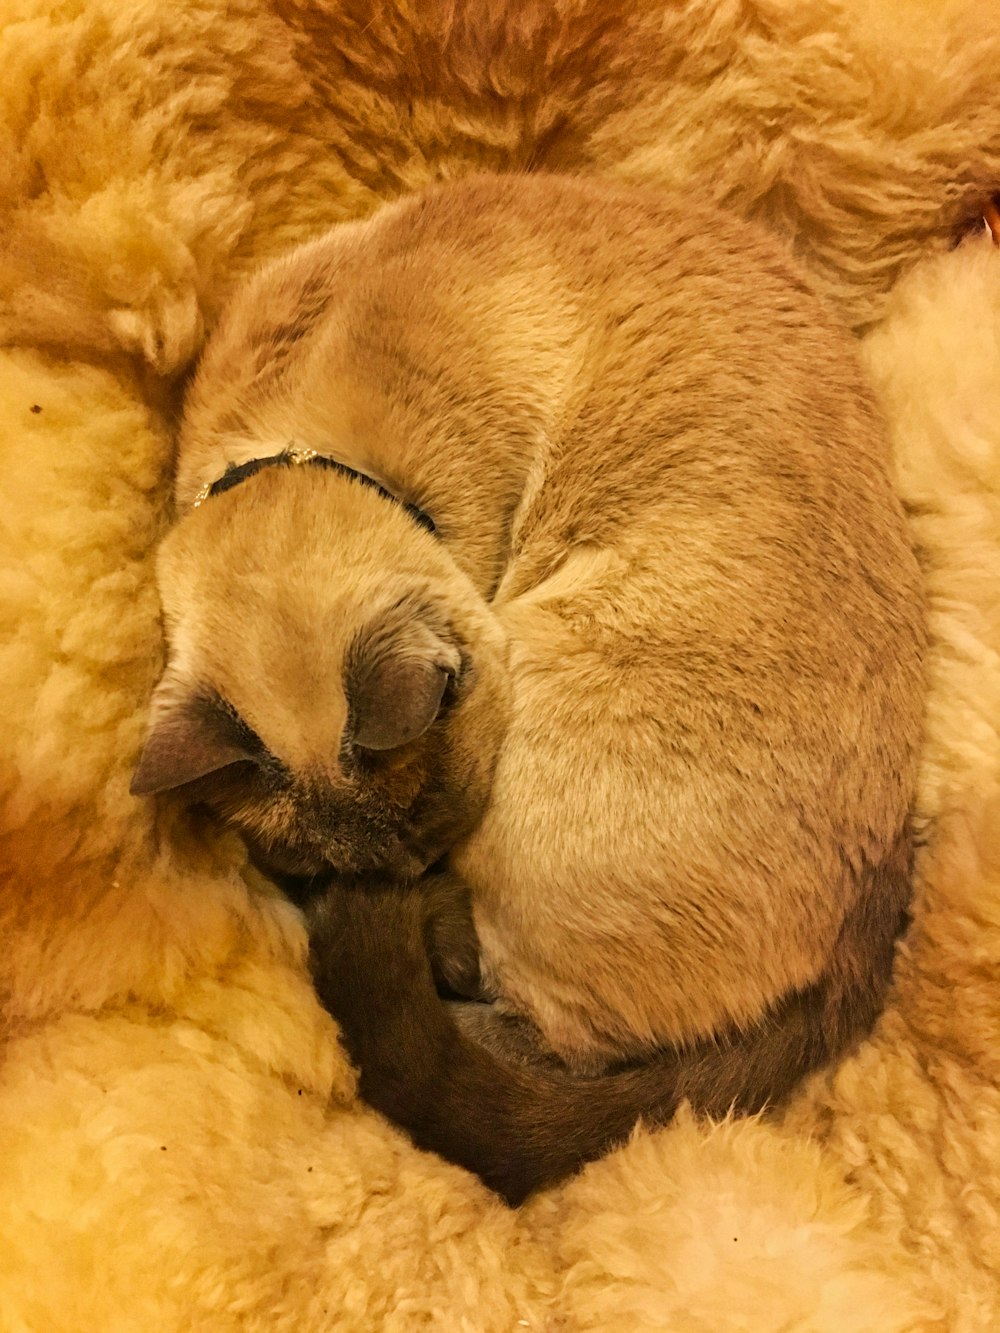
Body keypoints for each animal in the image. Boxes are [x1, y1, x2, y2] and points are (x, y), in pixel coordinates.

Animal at [129, 171, 928, 1205]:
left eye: (430, 832)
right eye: (312, 863)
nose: (398, 878)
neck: (305, 437)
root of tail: (865, 924)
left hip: (544, 702)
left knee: (539, 1045)